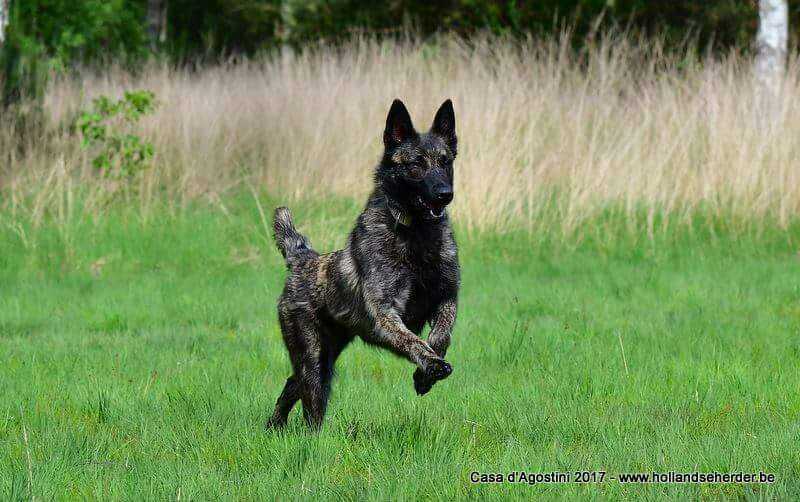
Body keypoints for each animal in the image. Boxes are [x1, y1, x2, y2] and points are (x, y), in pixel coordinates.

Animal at [266, 99, 460, 432]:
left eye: (445, 162)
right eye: (416, 165)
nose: (444, 194)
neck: (415, 236)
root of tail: (303, 259)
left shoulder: (447, 298)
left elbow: (440, 335)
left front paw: (424, 375)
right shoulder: (385, 312)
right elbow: (414, 340)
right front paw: (431, 365)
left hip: (326, 353)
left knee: (291, 386)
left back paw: (274, 426)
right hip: (314, 357)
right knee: (310, 403)